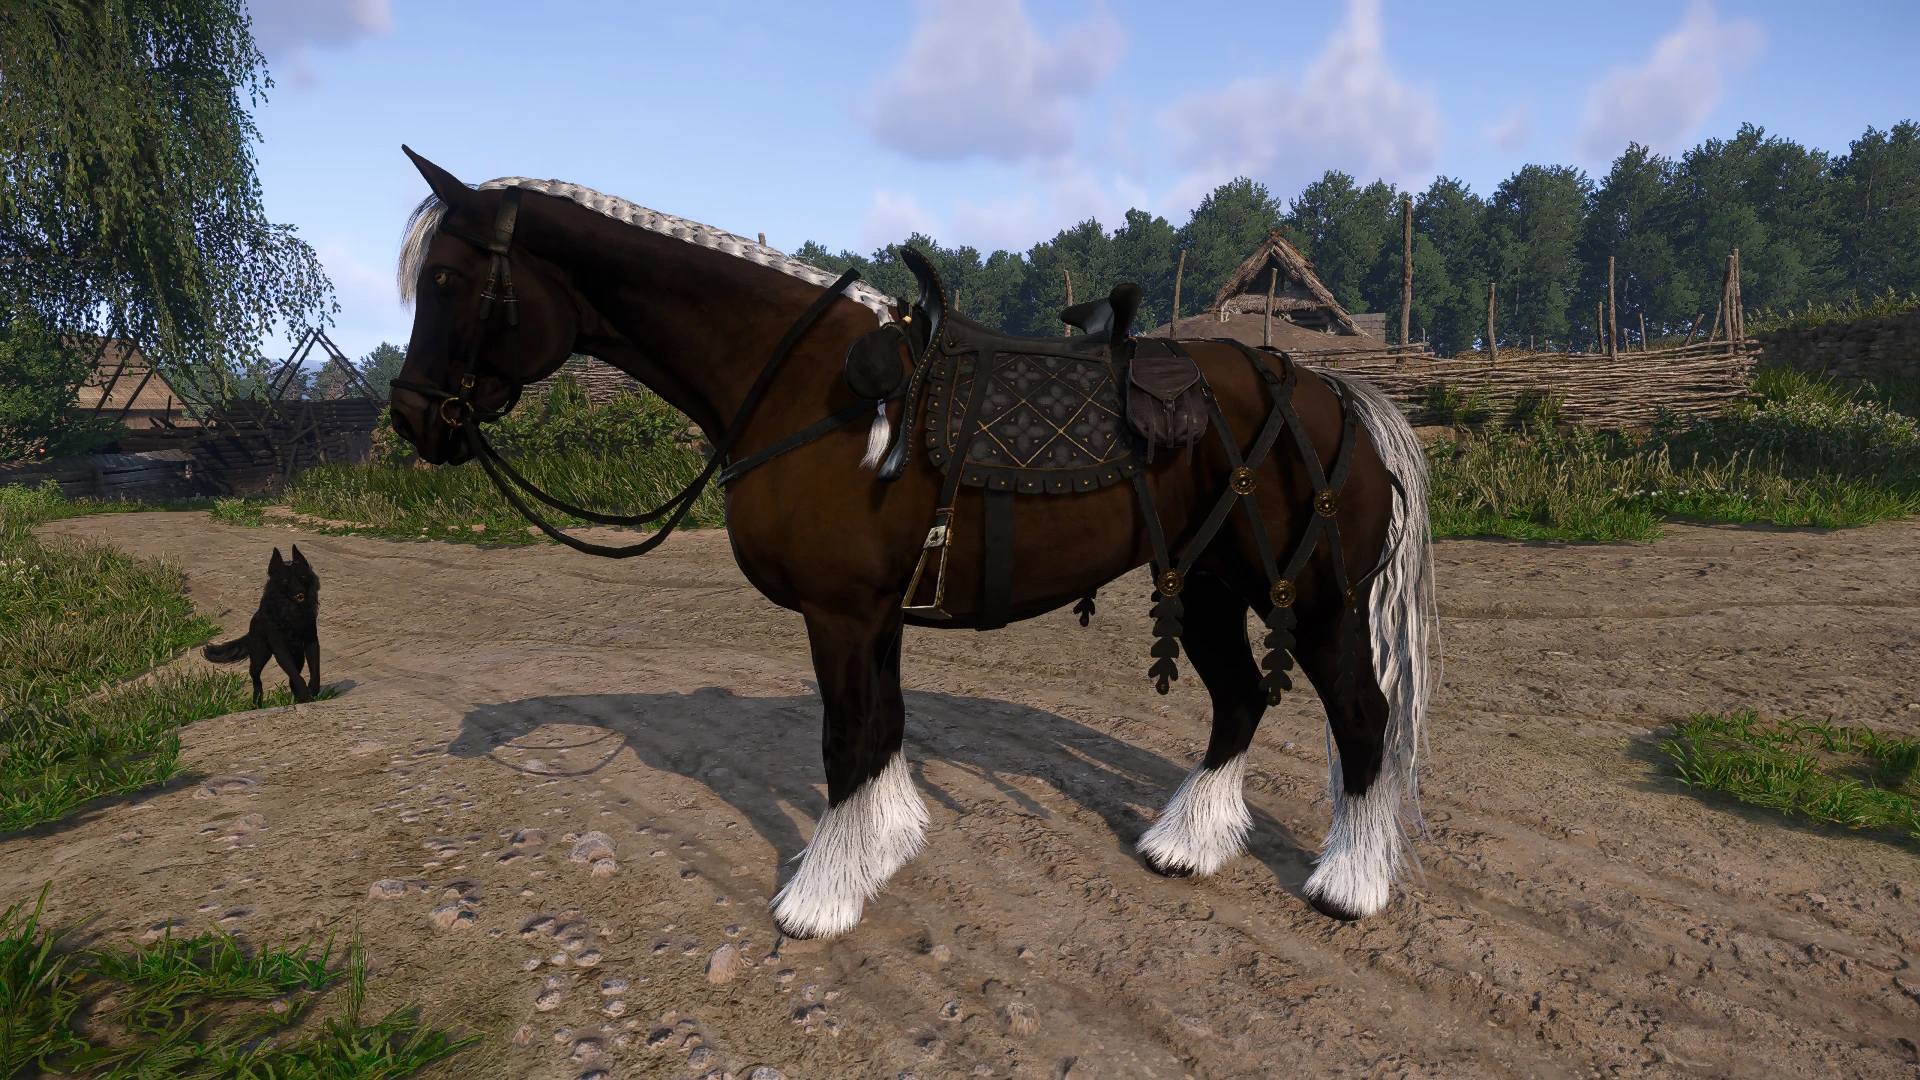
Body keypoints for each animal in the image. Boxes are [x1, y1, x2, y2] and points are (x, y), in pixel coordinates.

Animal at [385, 149, 1438, 940]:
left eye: (447, 281)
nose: (414, 421)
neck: (807, 383)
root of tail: (1334, 391)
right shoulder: (873, 613)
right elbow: (884, 727)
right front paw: (880, 847)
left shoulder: (842, 612)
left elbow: (847, 739)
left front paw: (819, 898)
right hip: (1212, 583)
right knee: (1238, 704)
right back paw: (1187, 844)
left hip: (1312, 598)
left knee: (1361, 717)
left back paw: (1348, 885)